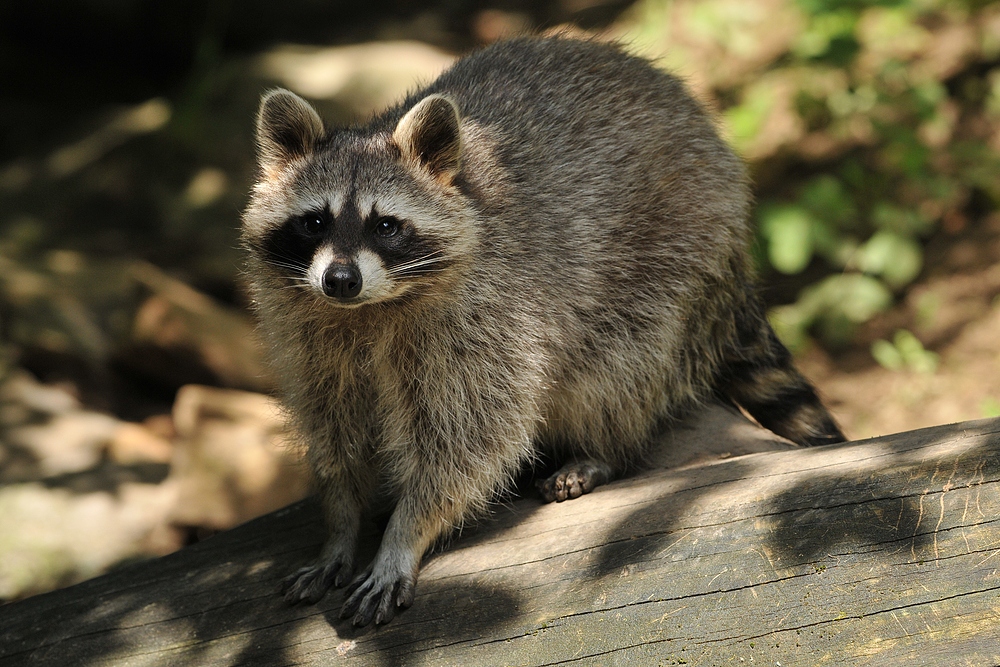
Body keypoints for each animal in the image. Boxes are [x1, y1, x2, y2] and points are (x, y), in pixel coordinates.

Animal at [242, 36, 844, 628]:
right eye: (314, 221)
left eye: (385, 226)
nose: (340, 280)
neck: (367, 310)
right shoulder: (309, 335)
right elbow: (332, 425)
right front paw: (340, 524)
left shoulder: (485, 316)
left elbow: (469, 438)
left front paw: (404, 534)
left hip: (676, 248)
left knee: (619, 362)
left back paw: (603, 447)